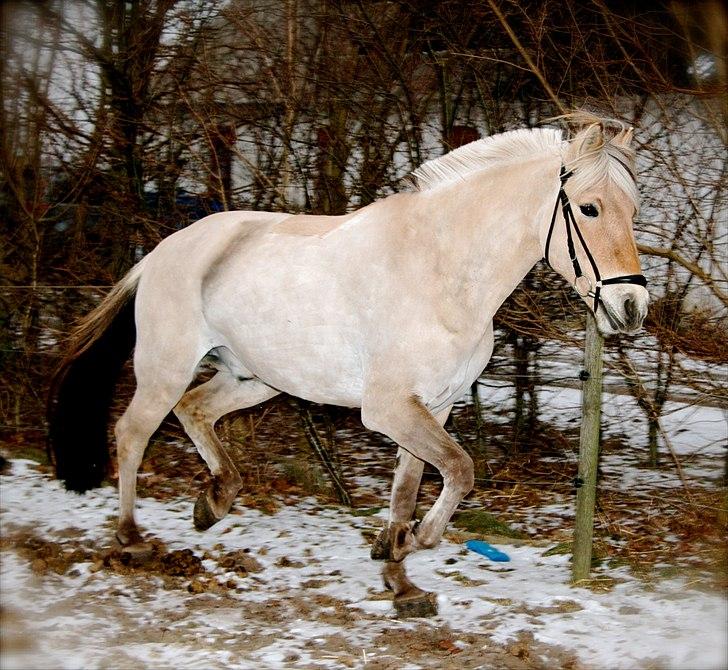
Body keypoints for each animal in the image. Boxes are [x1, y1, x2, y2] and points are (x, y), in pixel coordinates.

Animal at [47, 114, 648, 620]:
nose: (632, 308)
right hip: (166, 368)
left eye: (634, 211)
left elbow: (409, 488)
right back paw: (131, 539)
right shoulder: (388, 409)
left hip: (253, 378)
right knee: (133, 431)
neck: (442, 272)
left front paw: (400, 577)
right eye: (590, 209)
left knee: (196, 410)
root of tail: (162, 250)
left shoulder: (433, 407)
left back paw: (214, 501)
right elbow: (459, 470)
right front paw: (411, 542)